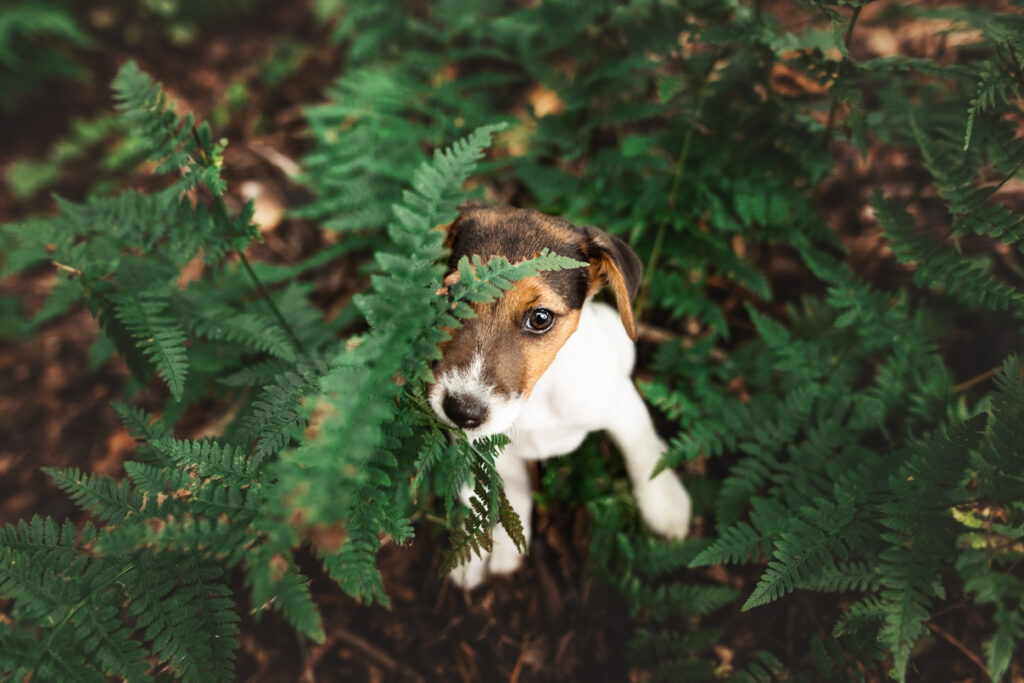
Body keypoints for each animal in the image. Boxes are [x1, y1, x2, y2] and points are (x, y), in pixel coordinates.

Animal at [428, 201, 692, 589]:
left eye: (541, 318)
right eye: (453, 297)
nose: (461, 411)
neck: (536, 399)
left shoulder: (620, 405)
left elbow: (641, 451)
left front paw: (666, 505)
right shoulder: (484, 445)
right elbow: (510, 488)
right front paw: (499, 548)